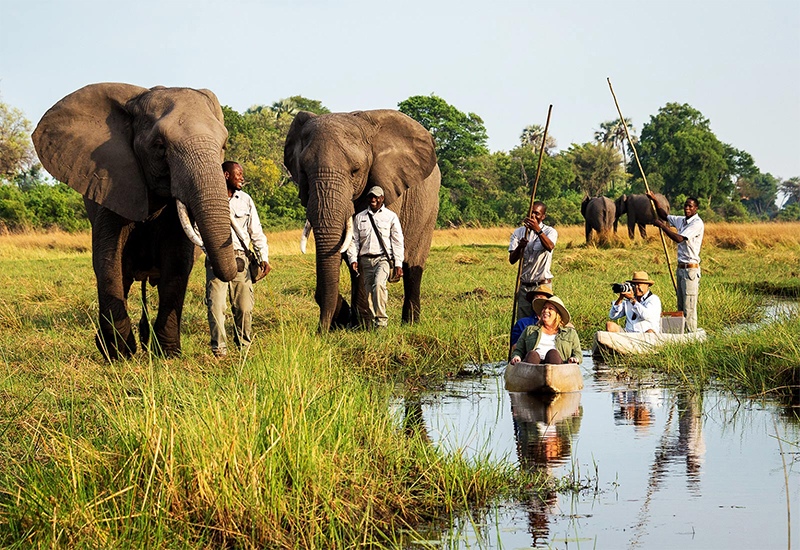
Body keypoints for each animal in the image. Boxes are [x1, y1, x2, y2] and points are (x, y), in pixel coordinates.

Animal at [32, 84, 239, 360]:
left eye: (223, 144)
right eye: (159, 146)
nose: (240, 263)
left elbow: (177, 261)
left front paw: (168, 355)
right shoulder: (112, 184)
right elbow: (108, 261)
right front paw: (120, 355)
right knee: (124, 276)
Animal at [284, 110, 440, 330]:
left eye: (355, 171)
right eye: (304, 172)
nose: (320, 331)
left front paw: (362, 325)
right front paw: (344, 319)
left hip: (430, 208)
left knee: (413, 266)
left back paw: (410, 323)